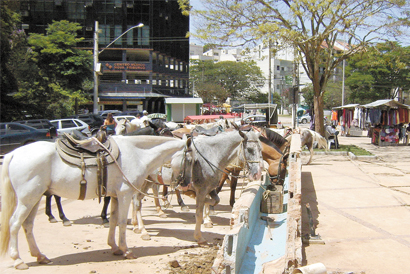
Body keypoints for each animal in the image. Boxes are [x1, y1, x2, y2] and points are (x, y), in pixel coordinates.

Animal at [0, 135, 191, 270]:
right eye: (190, 160)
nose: (187, 183)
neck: (136, 154)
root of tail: (13, 153)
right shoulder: (125, 194)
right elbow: (122, 222)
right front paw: (126, 250)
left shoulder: (115, 196)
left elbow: (113, 220)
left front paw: (114, 247)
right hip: (27, 199)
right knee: (14, 224)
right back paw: (18, 260)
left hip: (35, 198)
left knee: (27, 225)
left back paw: (40, 256)